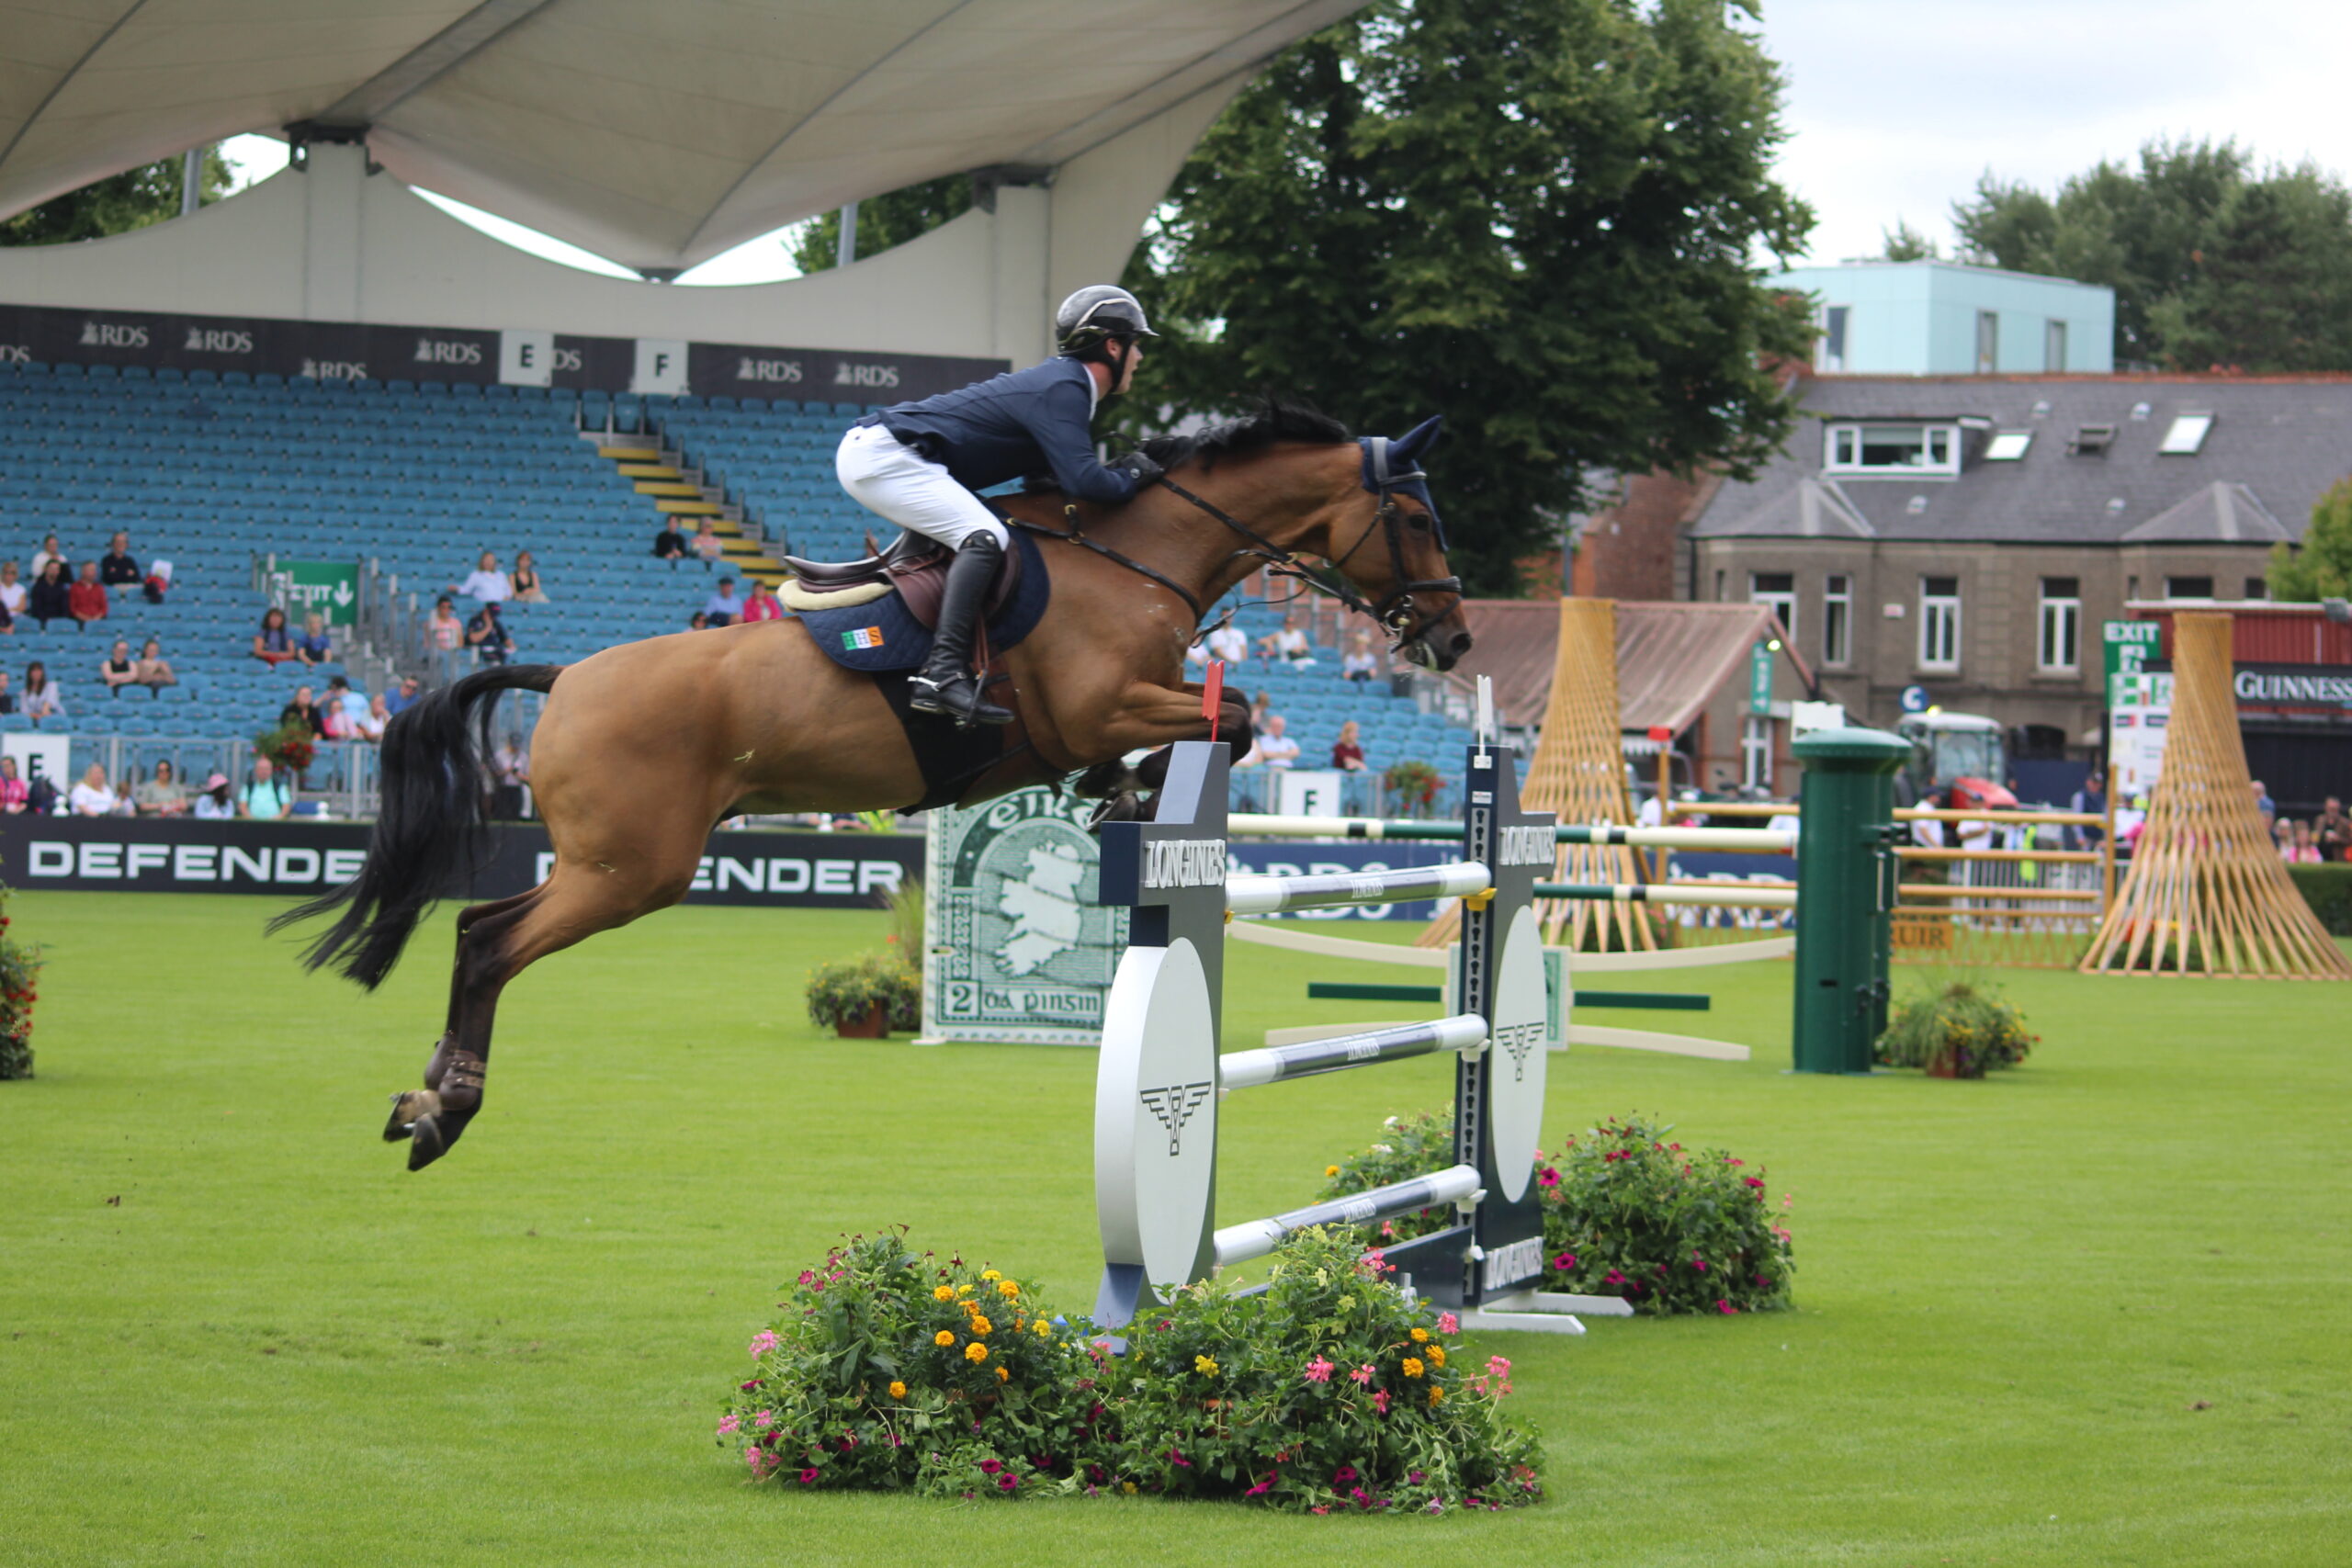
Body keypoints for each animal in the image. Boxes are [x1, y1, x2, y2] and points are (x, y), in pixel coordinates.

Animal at [284, 400, 1467, 1170]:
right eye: (1416, 519)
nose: (1452, 640)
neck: (1137, 555)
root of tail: (563, 676)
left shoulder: (1121, 709)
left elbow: (1218, 718)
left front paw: (1114, 797)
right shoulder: (1105, 704)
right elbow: (1235, 715)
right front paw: (1125, 796)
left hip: (611, 862)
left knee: (474, 925)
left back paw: (423, 1099)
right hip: (632, 869)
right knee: (491, 942)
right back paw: (444, 1113)